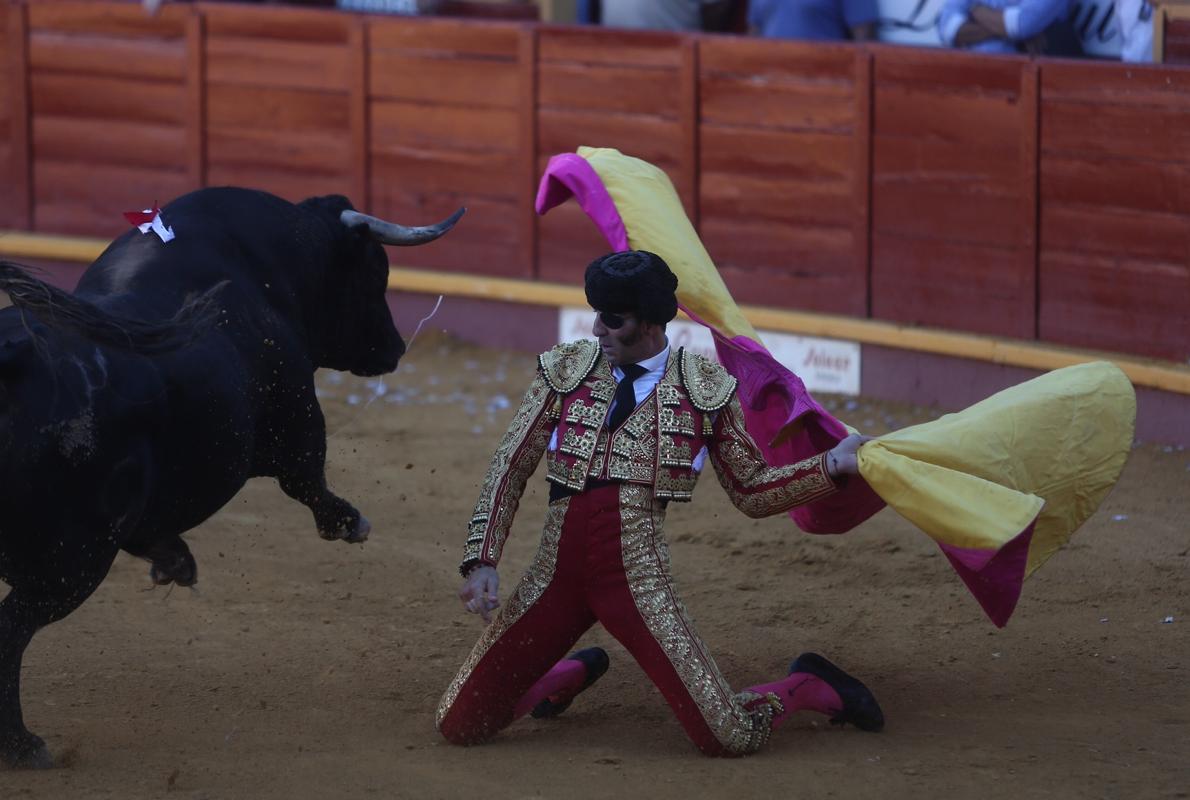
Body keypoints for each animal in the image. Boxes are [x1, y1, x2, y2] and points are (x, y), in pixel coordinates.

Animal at [0, 184, 464, 766]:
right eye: (373, 273)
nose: (396, 347)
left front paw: (173, 560)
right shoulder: (297, 421)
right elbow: (308, 481)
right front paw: (349, 522)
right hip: (70, 564)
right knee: (12, 630)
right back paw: (24, 745)